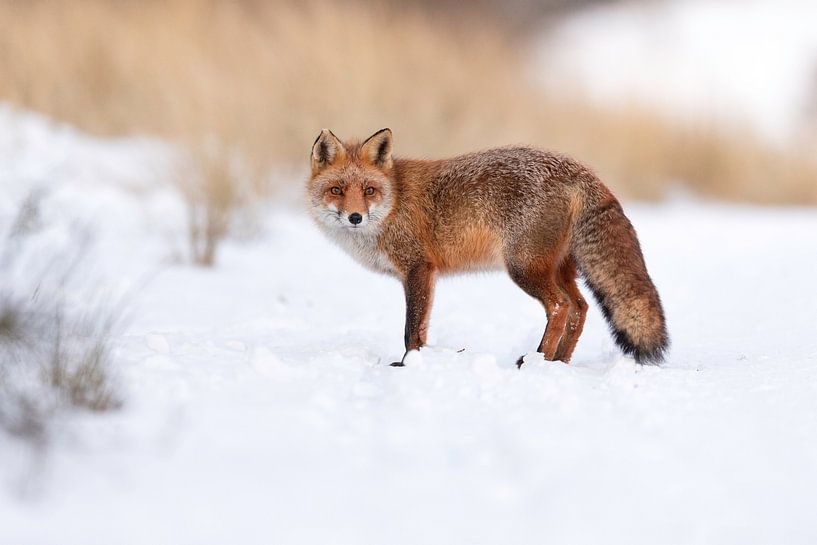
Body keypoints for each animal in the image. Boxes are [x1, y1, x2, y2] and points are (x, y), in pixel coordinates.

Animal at [307, 128, 668, 367]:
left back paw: (537, 358)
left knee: (560, 306)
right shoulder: (425, 274)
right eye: (337, 190)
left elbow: (412, 328)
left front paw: (408, 364)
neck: (394, 202)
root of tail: (580, 170)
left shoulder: (418, 268)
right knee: (580, 308)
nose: (355, 217)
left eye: (369, 190)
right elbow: (420, 327)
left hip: (524, 268)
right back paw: (558, 362)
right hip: (559, 269)